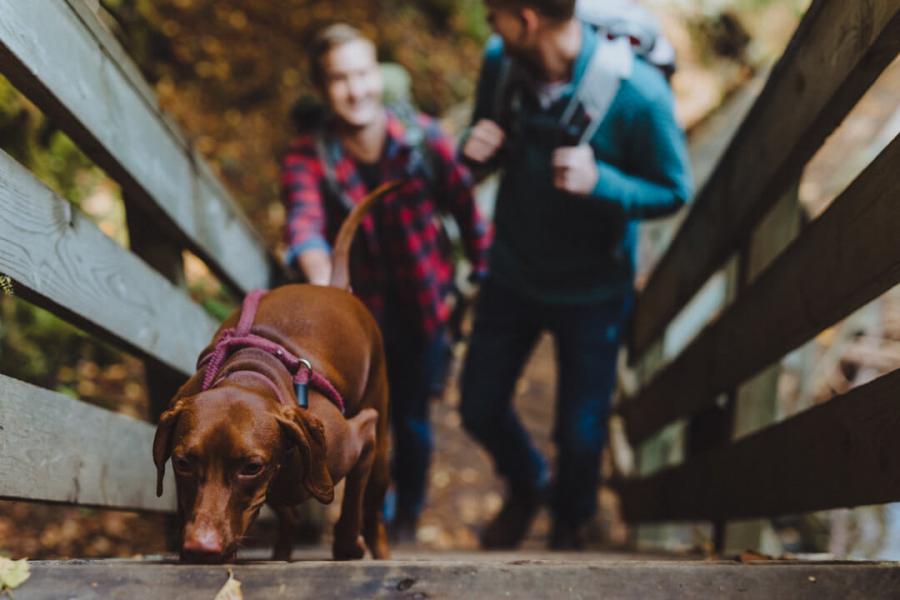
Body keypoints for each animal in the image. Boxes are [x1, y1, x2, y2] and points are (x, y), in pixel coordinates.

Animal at [152, 179, 400, 564]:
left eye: (251, 467)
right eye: (182, 462)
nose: (200, 549)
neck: (251, 373)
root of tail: (334, 288)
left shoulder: (362, 437)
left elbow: (350, 512)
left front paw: (348, 547)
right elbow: (286, 513)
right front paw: (283, 548)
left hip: (381, 444)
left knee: (372, 507)